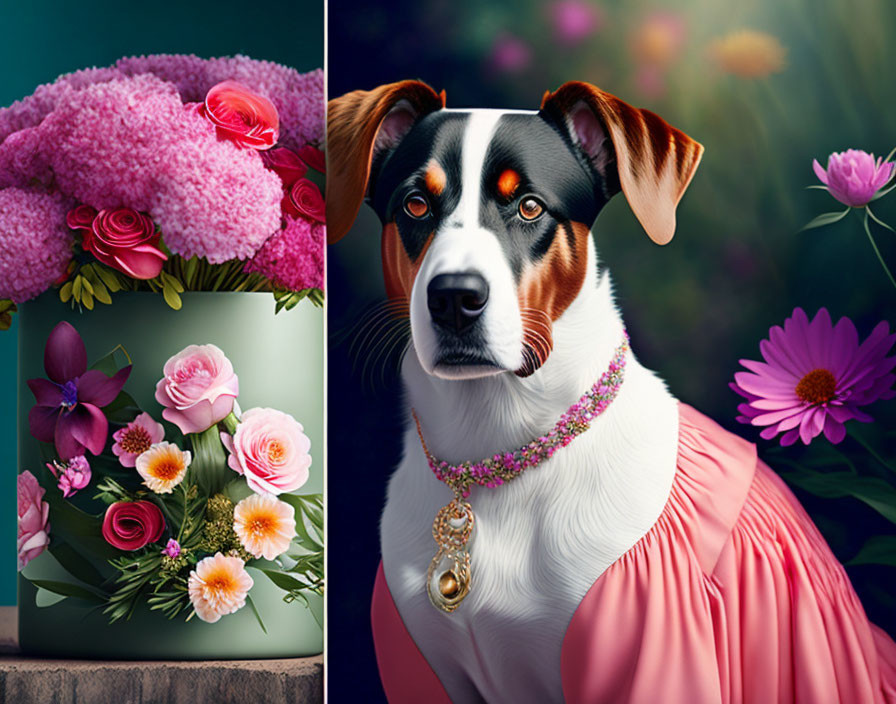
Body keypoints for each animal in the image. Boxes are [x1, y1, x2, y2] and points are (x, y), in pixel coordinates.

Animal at [328, 82, 896, 704]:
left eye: (530, 206)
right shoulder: (423, 667)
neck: (495, 454)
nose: (455, 298)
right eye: (415, 205)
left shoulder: (654, 647)